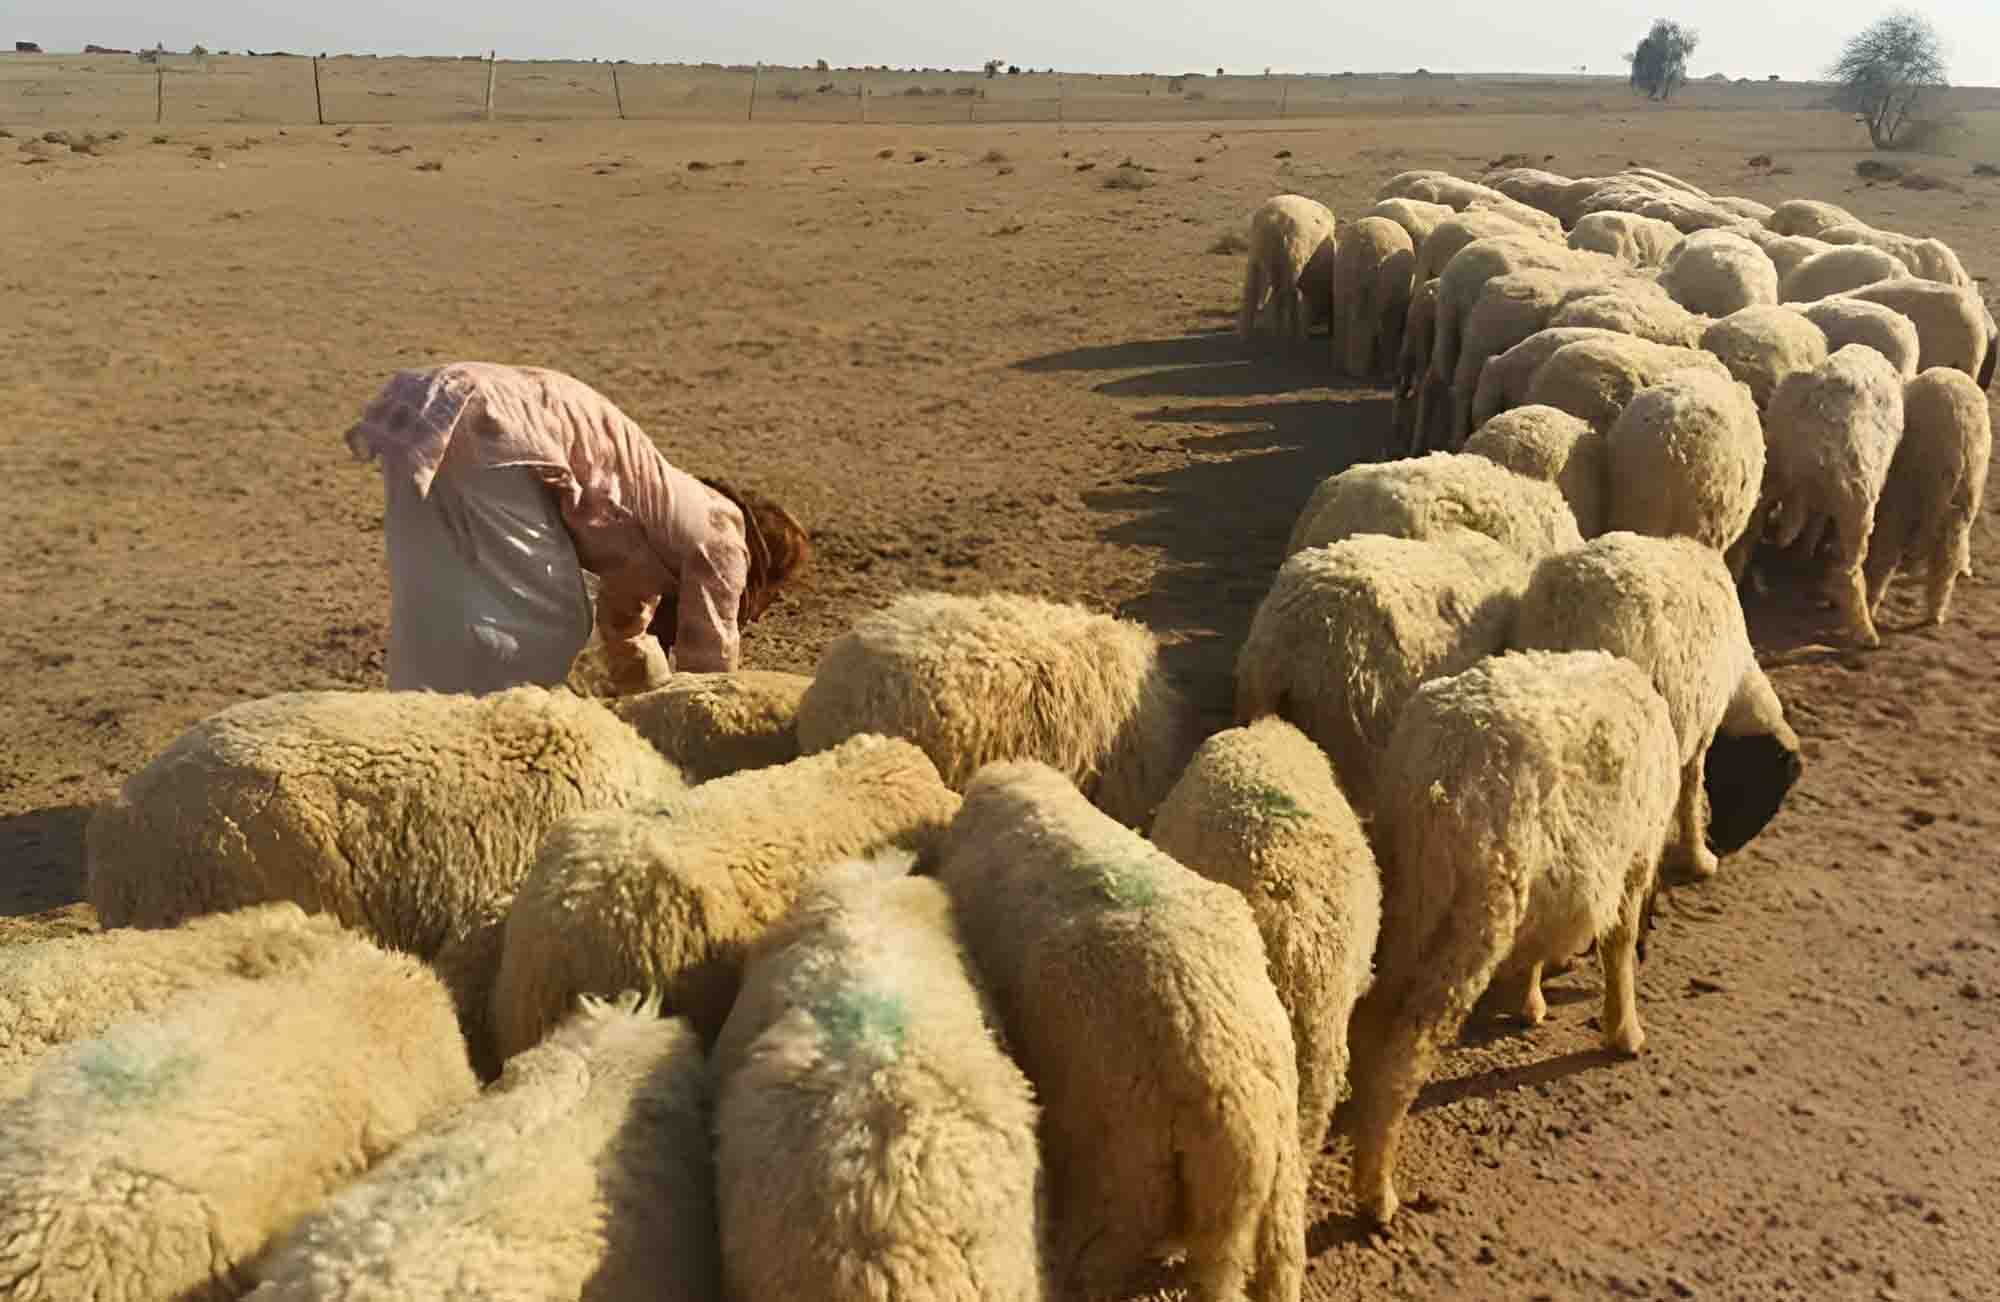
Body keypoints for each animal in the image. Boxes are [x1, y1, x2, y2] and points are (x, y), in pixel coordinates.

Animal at [1240, 194, 1337, 340]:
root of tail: (1274, 220)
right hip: (1294, 256)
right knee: (1285, 294)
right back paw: (1285, 334)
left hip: (1256, 254)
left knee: (1252, 290)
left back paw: (1246, 335)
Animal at [1346, 649, 1680, 1225]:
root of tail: (1431, 772)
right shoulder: (1633, 860)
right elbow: (1619, 948)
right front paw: (1624, 1032)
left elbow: (1538, 950)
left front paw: (1531, 1001)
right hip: (1478, 911)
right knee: (1407, 1047)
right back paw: (1377, 1194)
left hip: (1412, 903)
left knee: (1370, 1023)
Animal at [1512, 532, 1806, 884]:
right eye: (1769, 787)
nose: (1726, 847)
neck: (1739, 682)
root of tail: (1568, 610)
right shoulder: (1701, 726)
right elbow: (1691, 791)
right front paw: (1698, 859)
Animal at [1762, 345, 1909, 646]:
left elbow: (1816, 522)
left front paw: (1803, 553)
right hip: (1857, 499)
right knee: (1849, 571)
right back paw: (1866, 632)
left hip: (1775, 470)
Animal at [1864, 367, 1993, 625]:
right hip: (1962, 501)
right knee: (1946, 561)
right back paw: (1936, 613)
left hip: (1906, 491)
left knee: (1887, 551)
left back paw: (1871, 605)